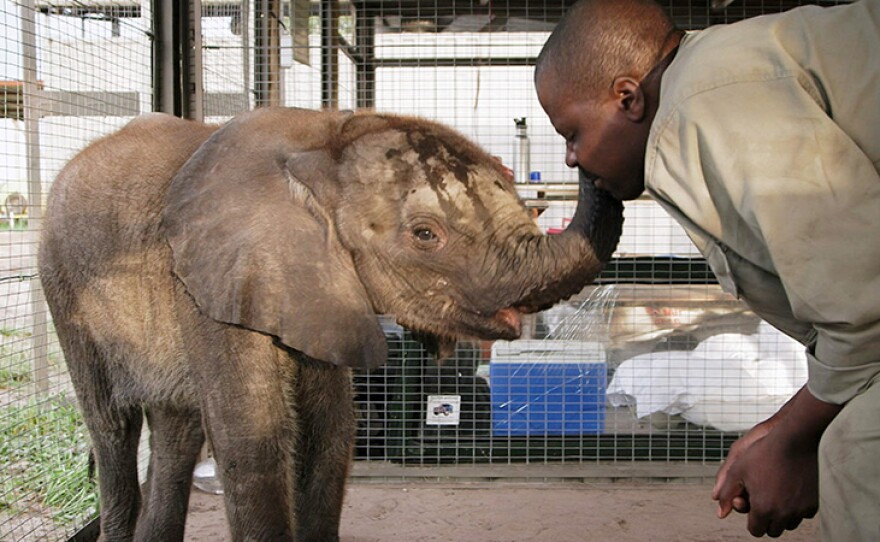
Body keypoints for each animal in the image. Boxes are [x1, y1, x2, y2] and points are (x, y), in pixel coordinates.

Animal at [39, 107, 620, 542]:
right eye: (425, 234)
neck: (322, 143)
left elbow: (331, 430)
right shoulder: (210, 286)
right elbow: (254, 438)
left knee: (176, 431)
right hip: (62, 283)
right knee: (112, 428)